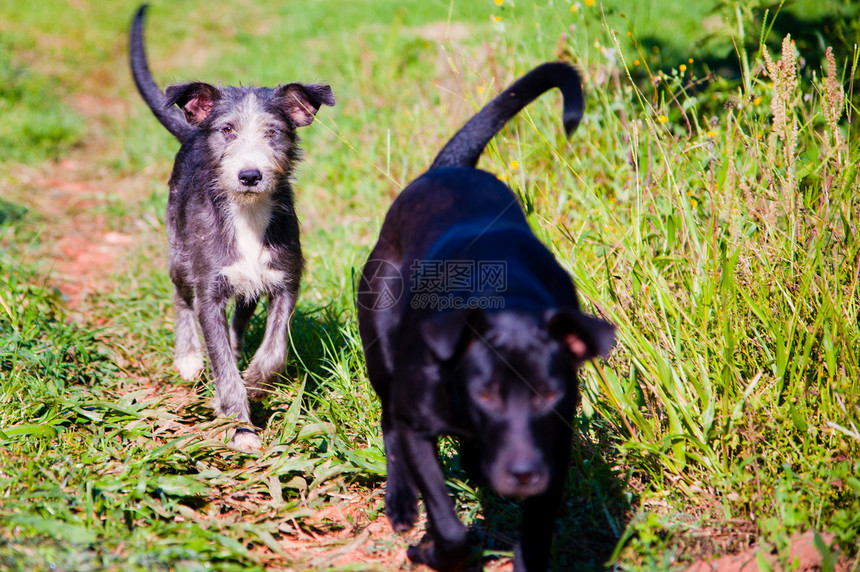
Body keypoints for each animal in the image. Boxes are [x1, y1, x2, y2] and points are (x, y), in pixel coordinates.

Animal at [129, 5, 334, 452]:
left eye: (273, 132)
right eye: (227, 130)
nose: (250, 175)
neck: (247, 214)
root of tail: (191, 130)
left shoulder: (285, 281)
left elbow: (273, 352)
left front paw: (254, 383)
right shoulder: (209, 289)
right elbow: (219, 359)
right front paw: (238, 423)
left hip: (246, 288)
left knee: (238, 324)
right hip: (179, 252)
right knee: (180, 298)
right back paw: (189, 357)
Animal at [360, 60, 616, 568]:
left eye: (547, 395)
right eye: (486, 395)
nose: (523, 473)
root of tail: (449, 169)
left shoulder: (554, 450)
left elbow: (535, 538)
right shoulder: (418, 425)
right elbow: (447, 523)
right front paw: (432, 549)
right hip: (378, 334)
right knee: (387, 419)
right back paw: (401, 502)